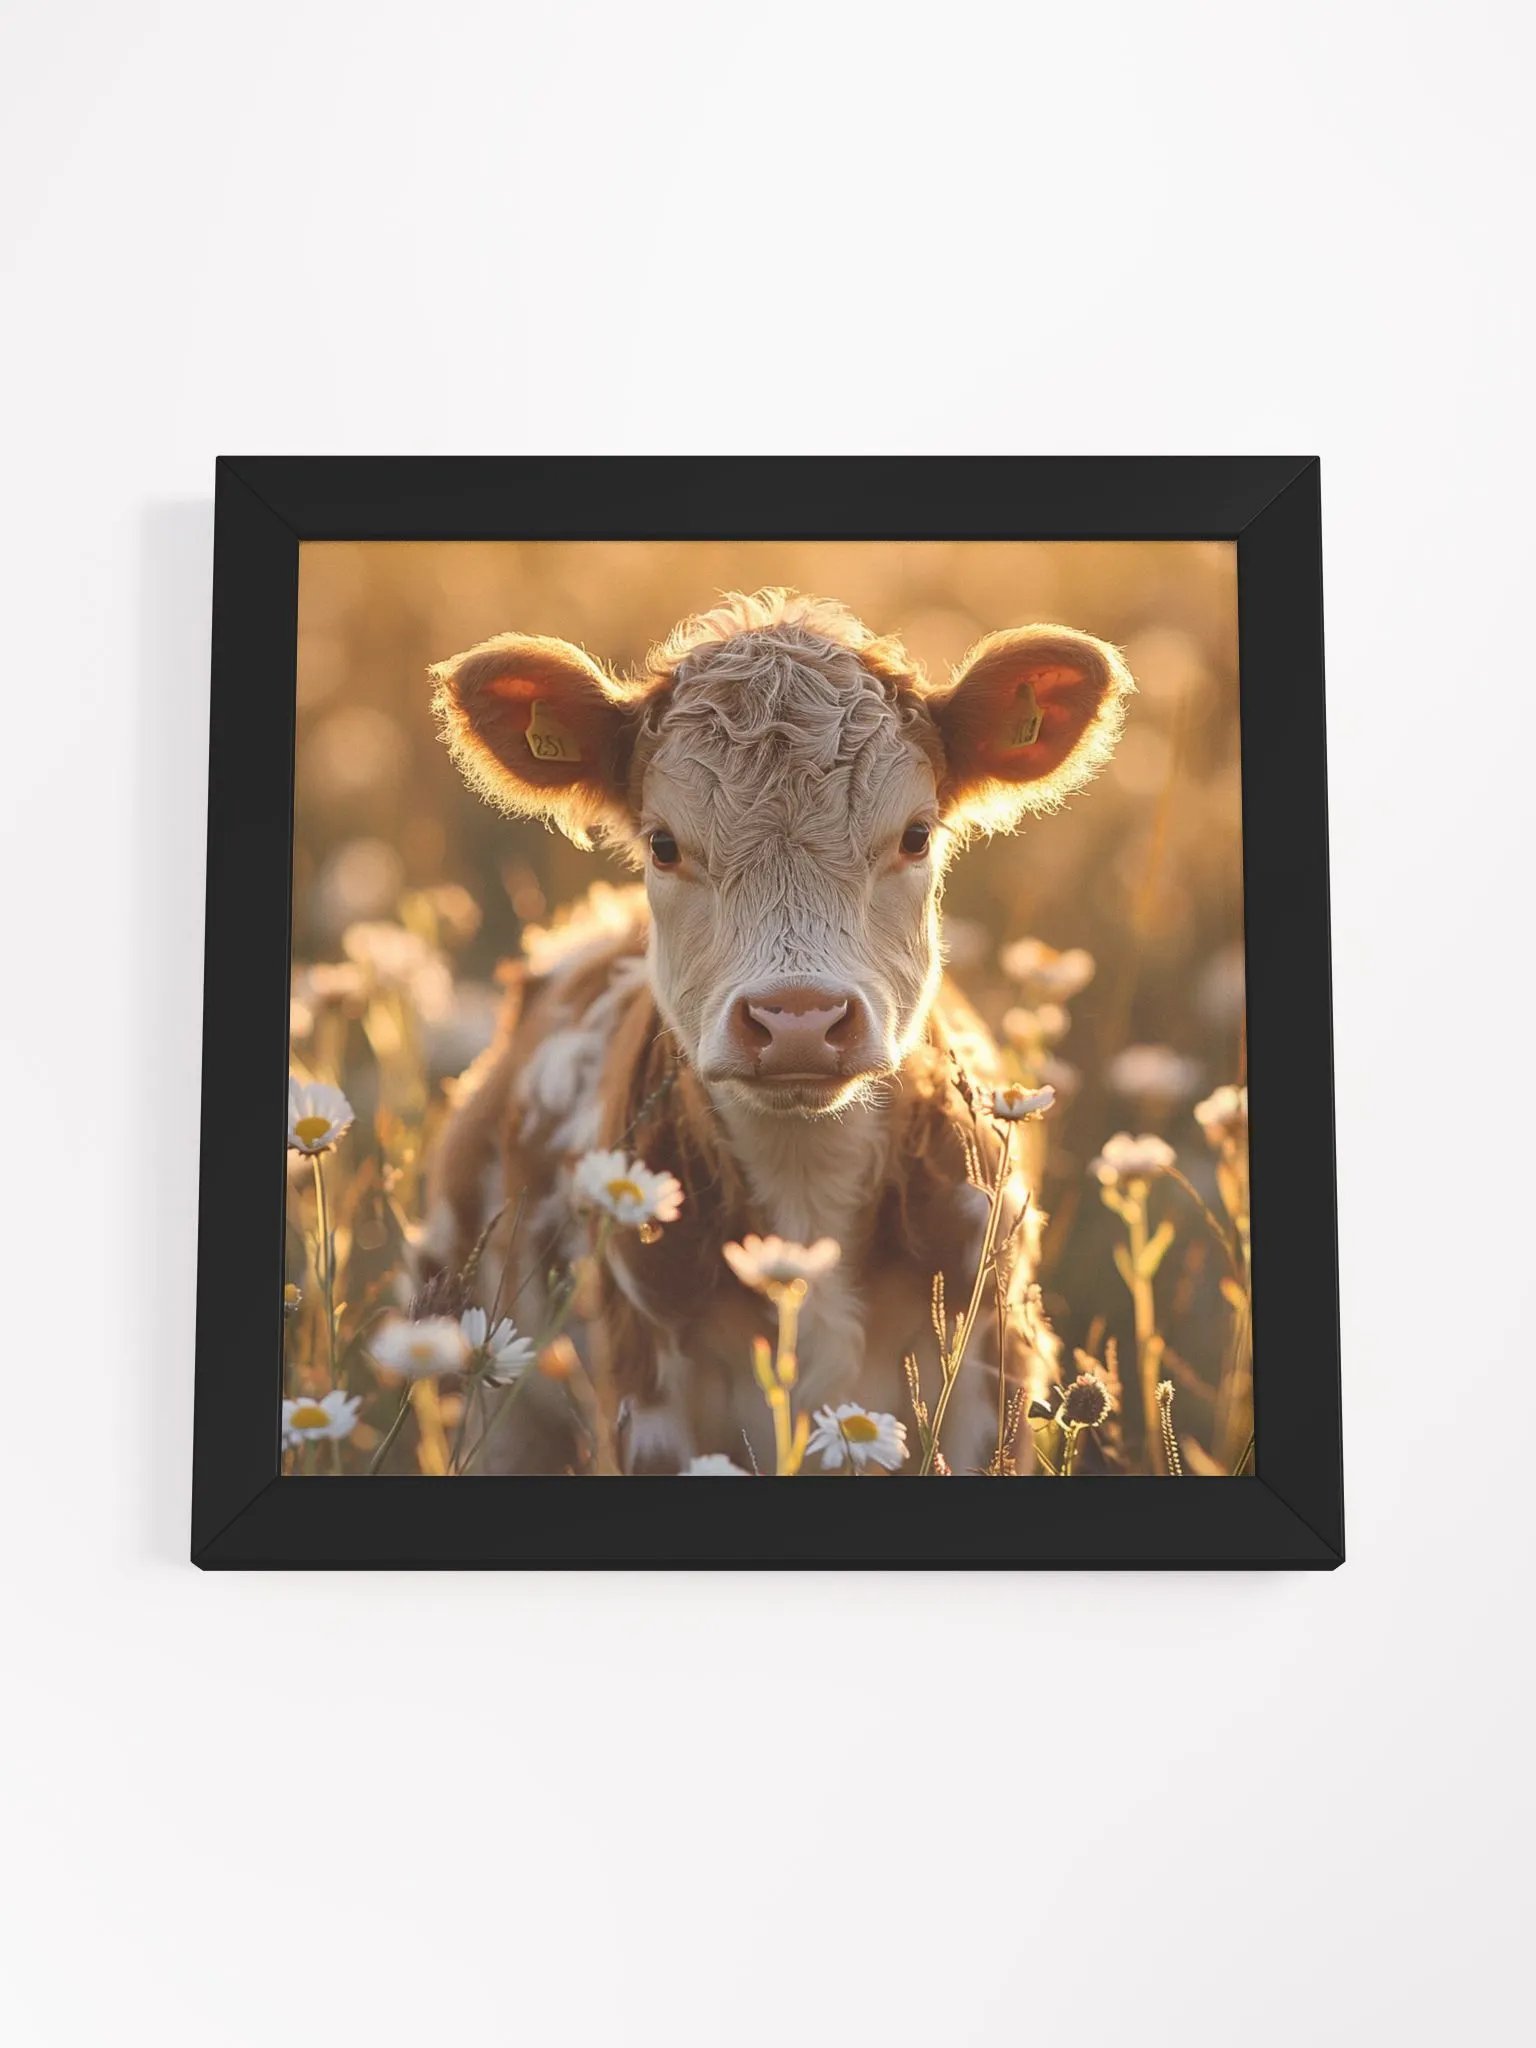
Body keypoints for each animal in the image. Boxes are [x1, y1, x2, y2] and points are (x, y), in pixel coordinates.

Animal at [423, 588, 1133, 1474]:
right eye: (663, 843)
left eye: (916, 835)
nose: (799, 1019)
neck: (806, 1183)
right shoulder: (647, 1398)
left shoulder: (988, 1373)